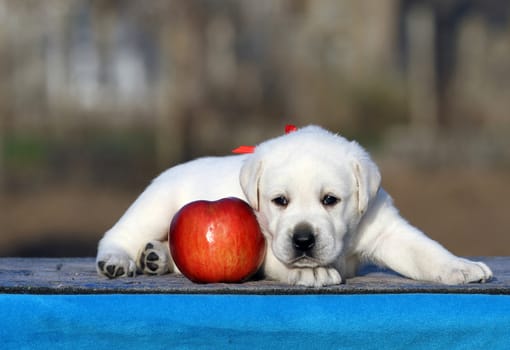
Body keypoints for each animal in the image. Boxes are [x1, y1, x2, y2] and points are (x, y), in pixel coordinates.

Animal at [96, 126, 494, 288]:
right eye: (280, 201)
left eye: (330, 200)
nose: (303, 241)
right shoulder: (264, 245)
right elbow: (278, 261)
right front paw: (310, 272)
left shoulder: (386, 229)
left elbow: (426, 251)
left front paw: (461, 267)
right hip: (157, 204)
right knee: (119, 233)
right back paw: (118, 260)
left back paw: (156, 257)